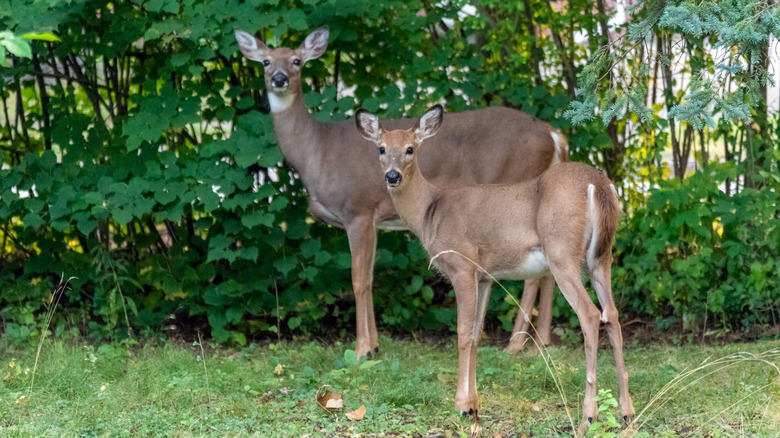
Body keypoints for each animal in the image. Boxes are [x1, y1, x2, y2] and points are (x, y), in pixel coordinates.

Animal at [233, 26, 567, 358]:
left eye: (297, 61)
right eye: (265, 61)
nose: (279, 78)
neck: (315, 151)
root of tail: (554, 135)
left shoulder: (358, 210)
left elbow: (359, 280)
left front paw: (362, 350)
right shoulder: (373, 220)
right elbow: (369, 277)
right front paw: (375, 345)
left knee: (534, 274)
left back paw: (516, 344)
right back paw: (542, 341)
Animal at [355, 105, 634, 434]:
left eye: (410, 149)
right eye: (381, 148)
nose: (392, 175)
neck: (429, 212)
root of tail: (599, 184)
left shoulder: (462, 265)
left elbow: (463, 333)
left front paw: (461, 407)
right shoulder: (485, 277)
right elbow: (477, 335)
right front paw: (475, 407)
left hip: (561, 252)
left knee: (590, 314)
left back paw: (587, 417)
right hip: (602, 257)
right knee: (612, 314)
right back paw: (627, 413)